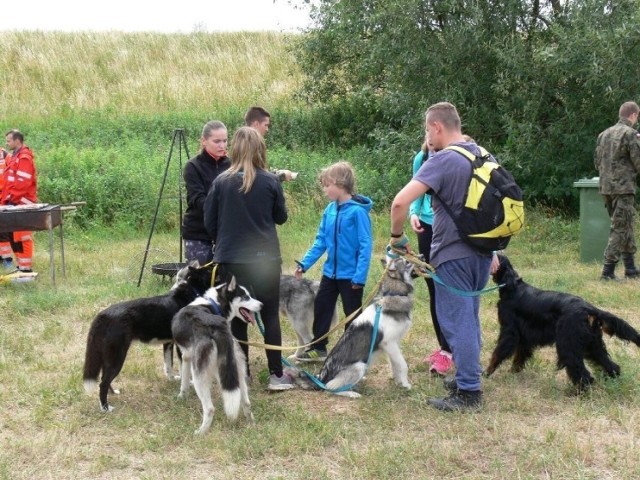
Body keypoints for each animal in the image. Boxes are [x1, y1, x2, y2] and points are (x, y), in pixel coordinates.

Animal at [288, 256, 418, 400]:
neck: (394, 294)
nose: (423, 256)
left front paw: (397, 382)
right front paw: (406, 385)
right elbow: (403, 365)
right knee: (329, 388)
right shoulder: (389, 343)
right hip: (359, 366)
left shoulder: (394, 344)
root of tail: (321, 379)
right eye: (407, 262)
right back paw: (351, 393)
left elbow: (395, 365)